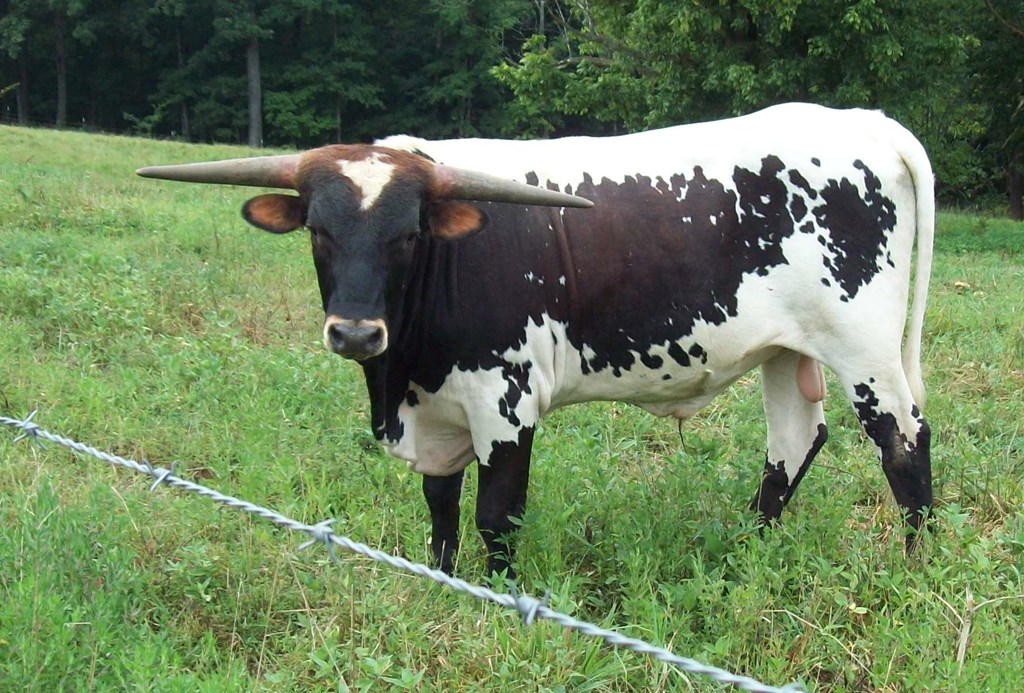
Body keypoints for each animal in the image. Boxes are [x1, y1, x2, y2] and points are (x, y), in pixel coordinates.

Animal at [137, 103, 934, 578]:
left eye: (408, 235)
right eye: (318, 231)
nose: (357, 331)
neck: (404, 380)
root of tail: (862, 121)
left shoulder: (504, 399)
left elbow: (496, 514)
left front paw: (501, 601)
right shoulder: (441, 410)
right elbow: (440, 505)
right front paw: (443, 583)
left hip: (865, 348)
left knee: (904, 441)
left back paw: (915, 566)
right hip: (789, 348)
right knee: (792, 446)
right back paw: (746, 555)